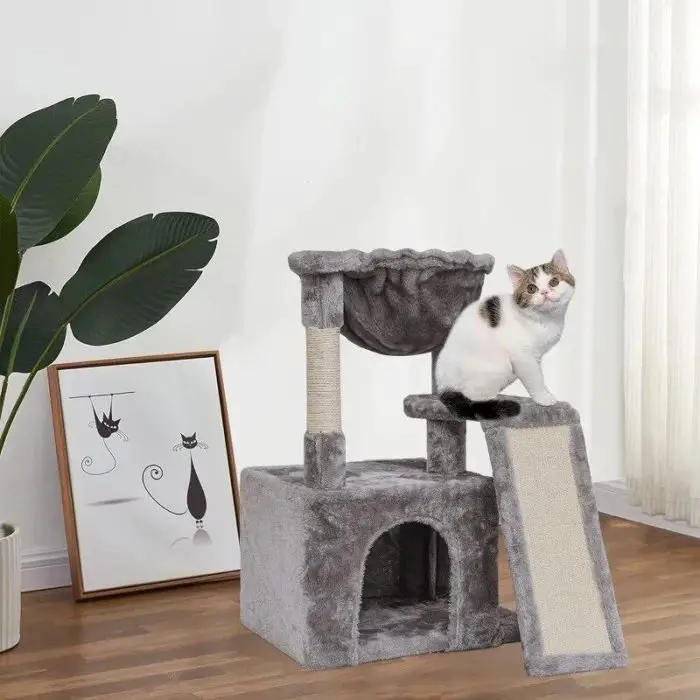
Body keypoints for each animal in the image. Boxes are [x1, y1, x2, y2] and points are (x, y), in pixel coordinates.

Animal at [434, 249, 576, 418]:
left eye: (554, 282)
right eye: (531, 289)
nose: (544, 292)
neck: (544, 320)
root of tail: (443, 385)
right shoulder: (524, 358)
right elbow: (535, 378)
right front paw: (543, 398)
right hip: (498, 367)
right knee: (471, 396)